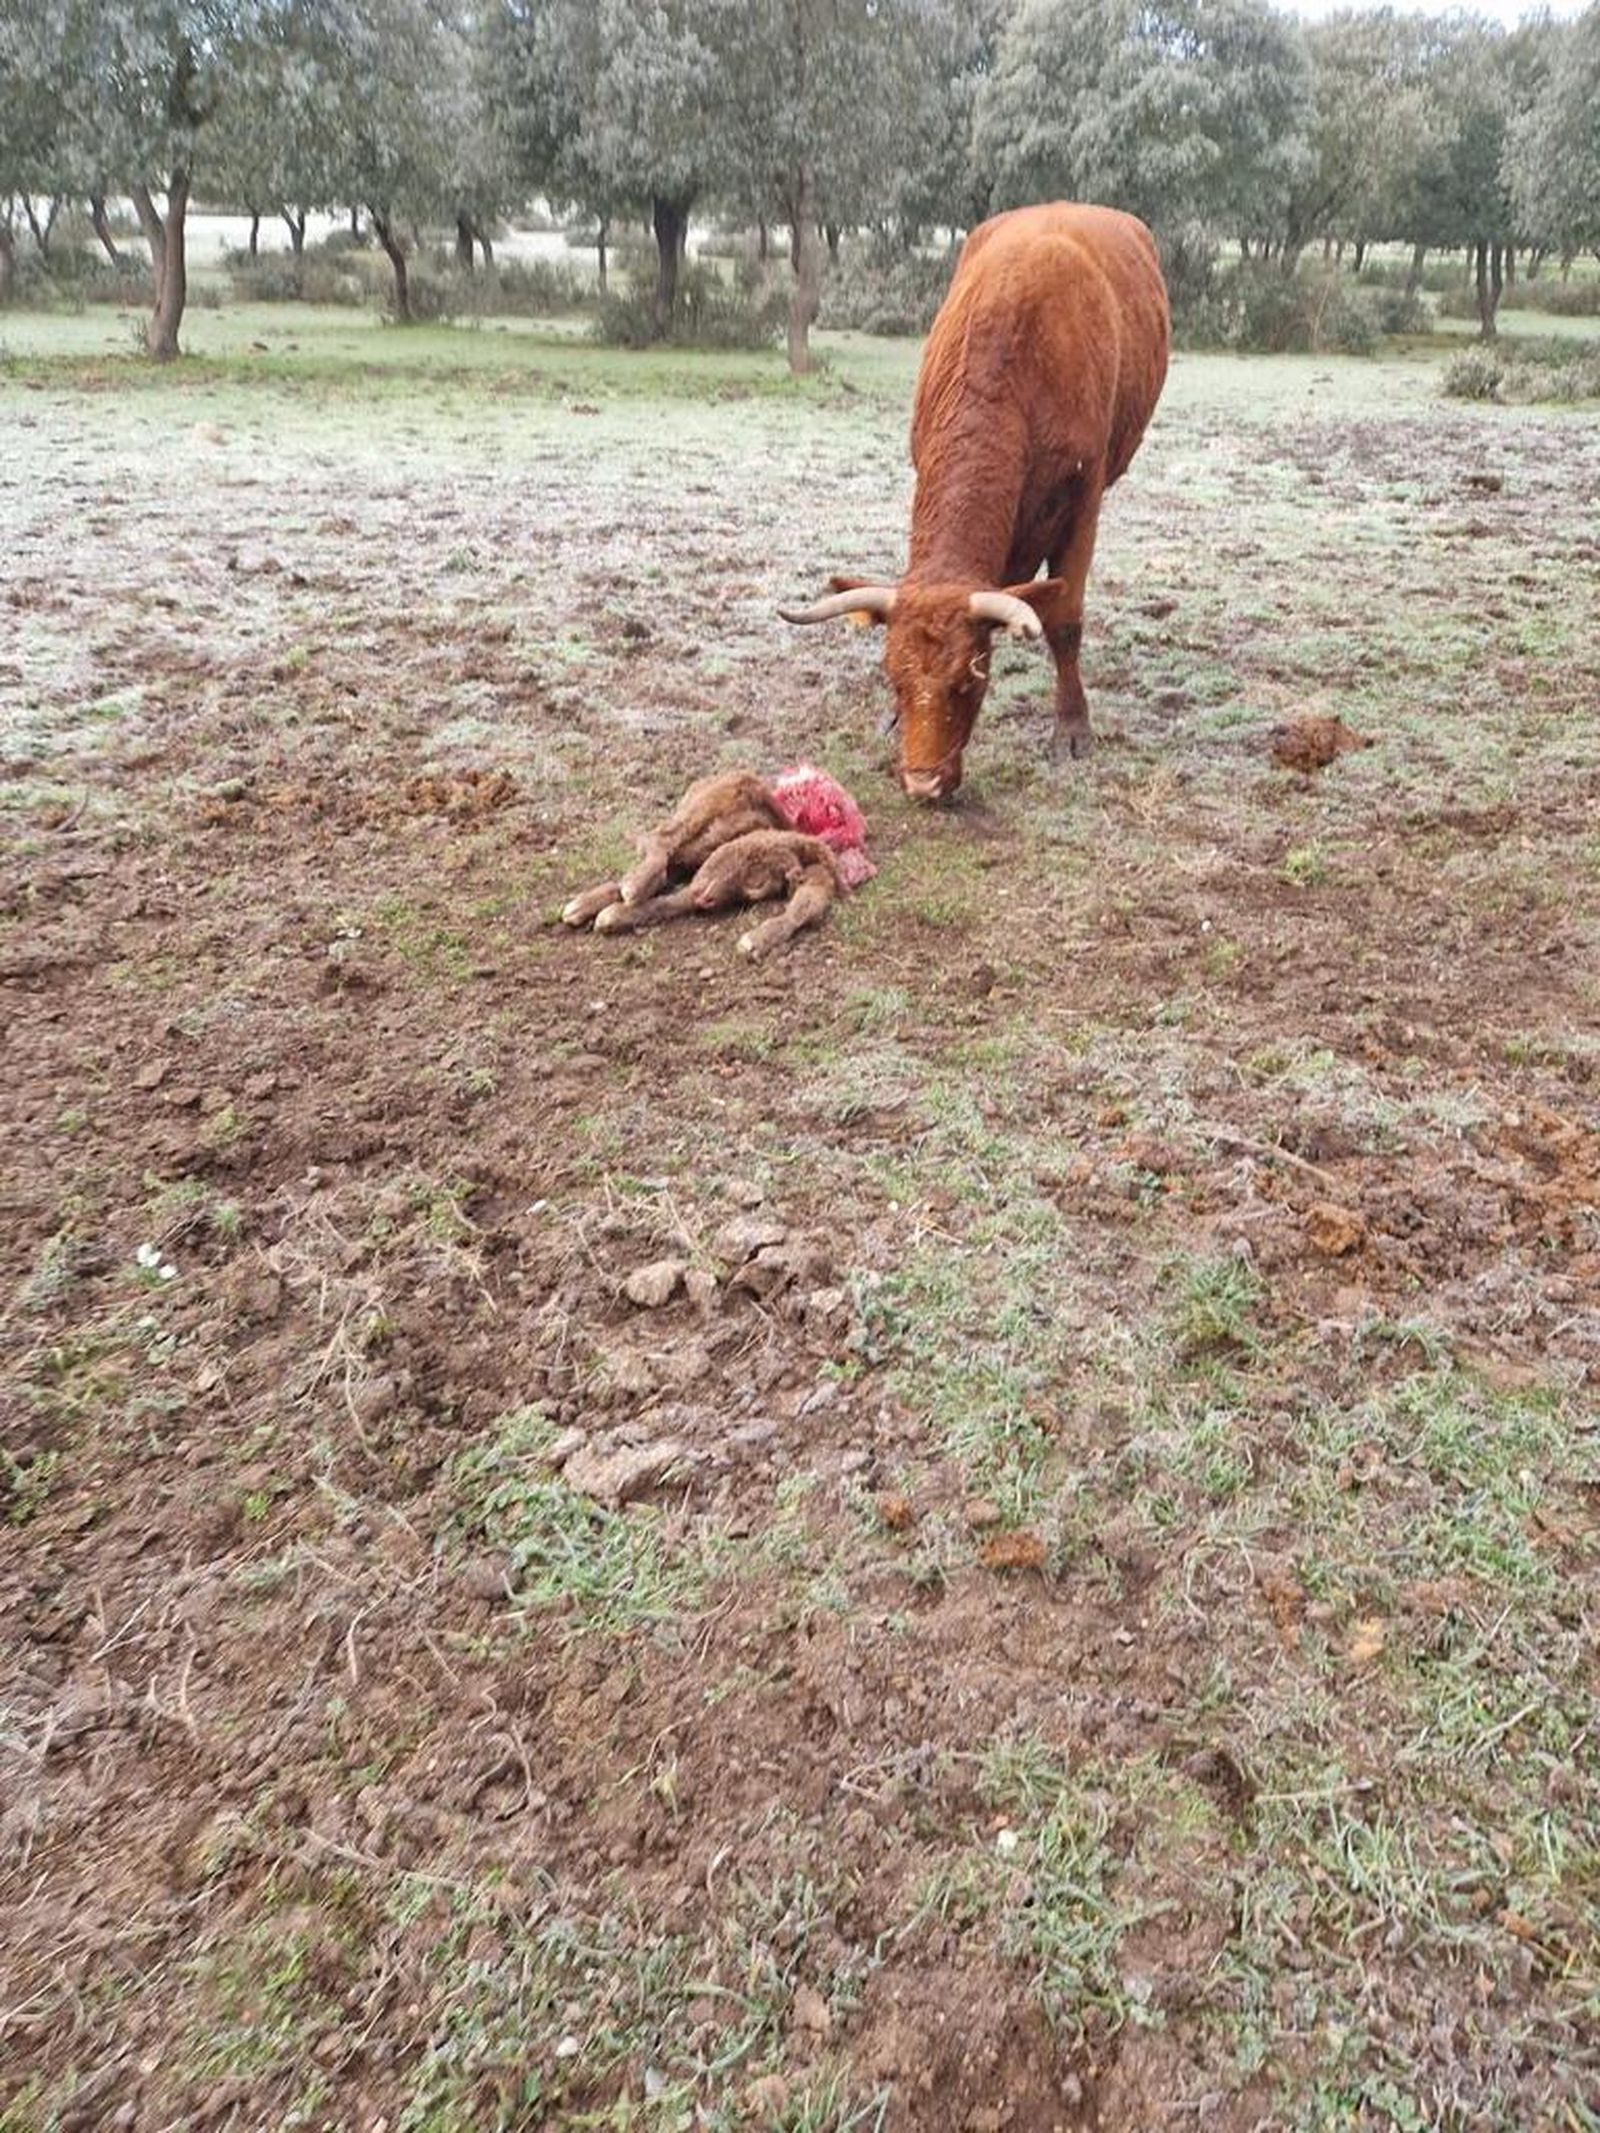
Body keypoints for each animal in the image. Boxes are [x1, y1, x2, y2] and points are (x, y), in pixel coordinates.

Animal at [781, 202, 1170, 802]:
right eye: (892, 678)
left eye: (968, 679)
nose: (922, 783)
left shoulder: (1083, 500)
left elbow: (1064, 621)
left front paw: (1072, 727)